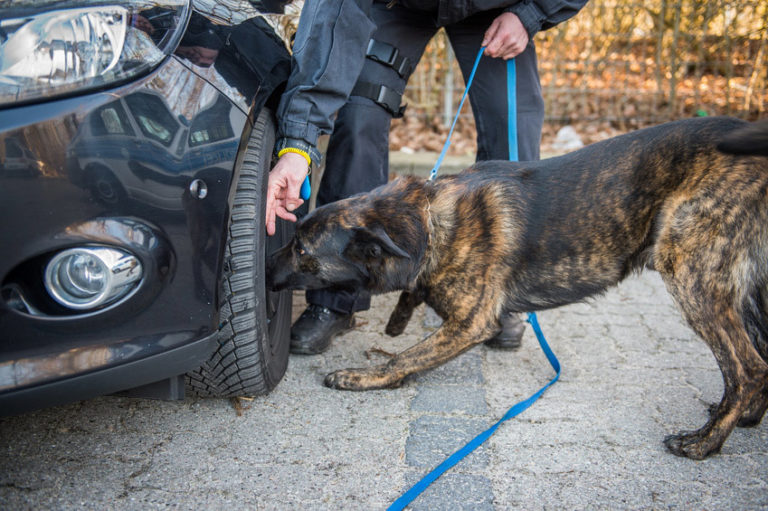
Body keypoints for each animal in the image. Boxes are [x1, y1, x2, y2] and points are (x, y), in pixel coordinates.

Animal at [266, 117, 768, 460]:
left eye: (302, 250)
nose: (264, 265)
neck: (427, 224)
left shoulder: (470, 323)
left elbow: (405, 358)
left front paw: (361, 376)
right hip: (743, 292)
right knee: (758, 362)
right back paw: (742, 417)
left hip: (692, 276)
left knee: (746, 368)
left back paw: (704, 442)